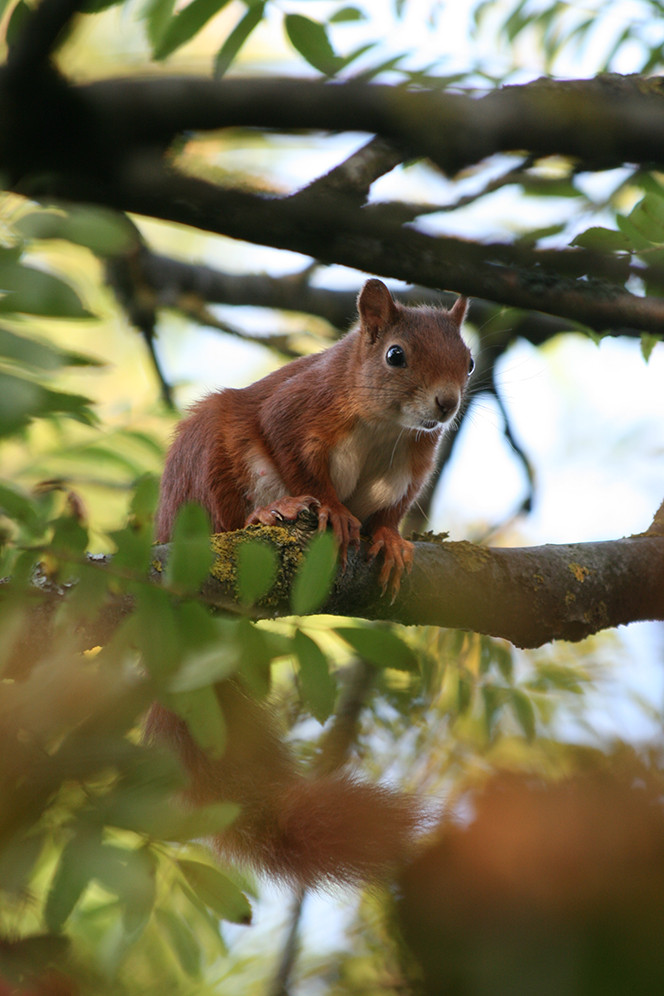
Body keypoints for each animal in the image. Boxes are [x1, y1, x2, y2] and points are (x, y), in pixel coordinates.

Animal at [148, 278, 474, 888]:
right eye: (395, 355)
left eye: (468, 361)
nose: (447, 405)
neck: (385, 426)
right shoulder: (298, 408)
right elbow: (299, 461)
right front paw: (334, 513)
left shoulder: (416, 463)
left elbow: (393, 511)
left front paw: (390, 540)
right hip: (205, 462)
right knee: (224, 507)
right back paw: (269, 511)